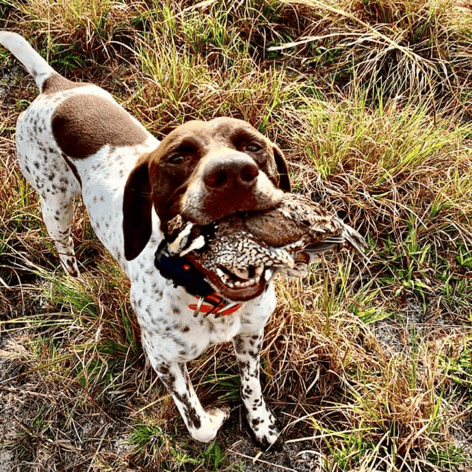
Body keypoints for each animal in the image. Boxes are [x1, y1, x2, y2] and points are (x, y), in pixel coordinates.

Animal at [0, 32, 292, 446]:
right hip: (54, 202)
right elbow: (200, 426)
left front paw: (260, 422)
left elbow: (251, 385)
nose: (233, 174)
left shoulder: (251, 334)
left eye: (253, 146)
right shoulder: (162, 359)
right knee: (63, 247)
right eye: (177, 156)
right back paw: (74, 279)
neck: (205, 294)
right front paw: (218, 415)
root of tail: (54, 84)